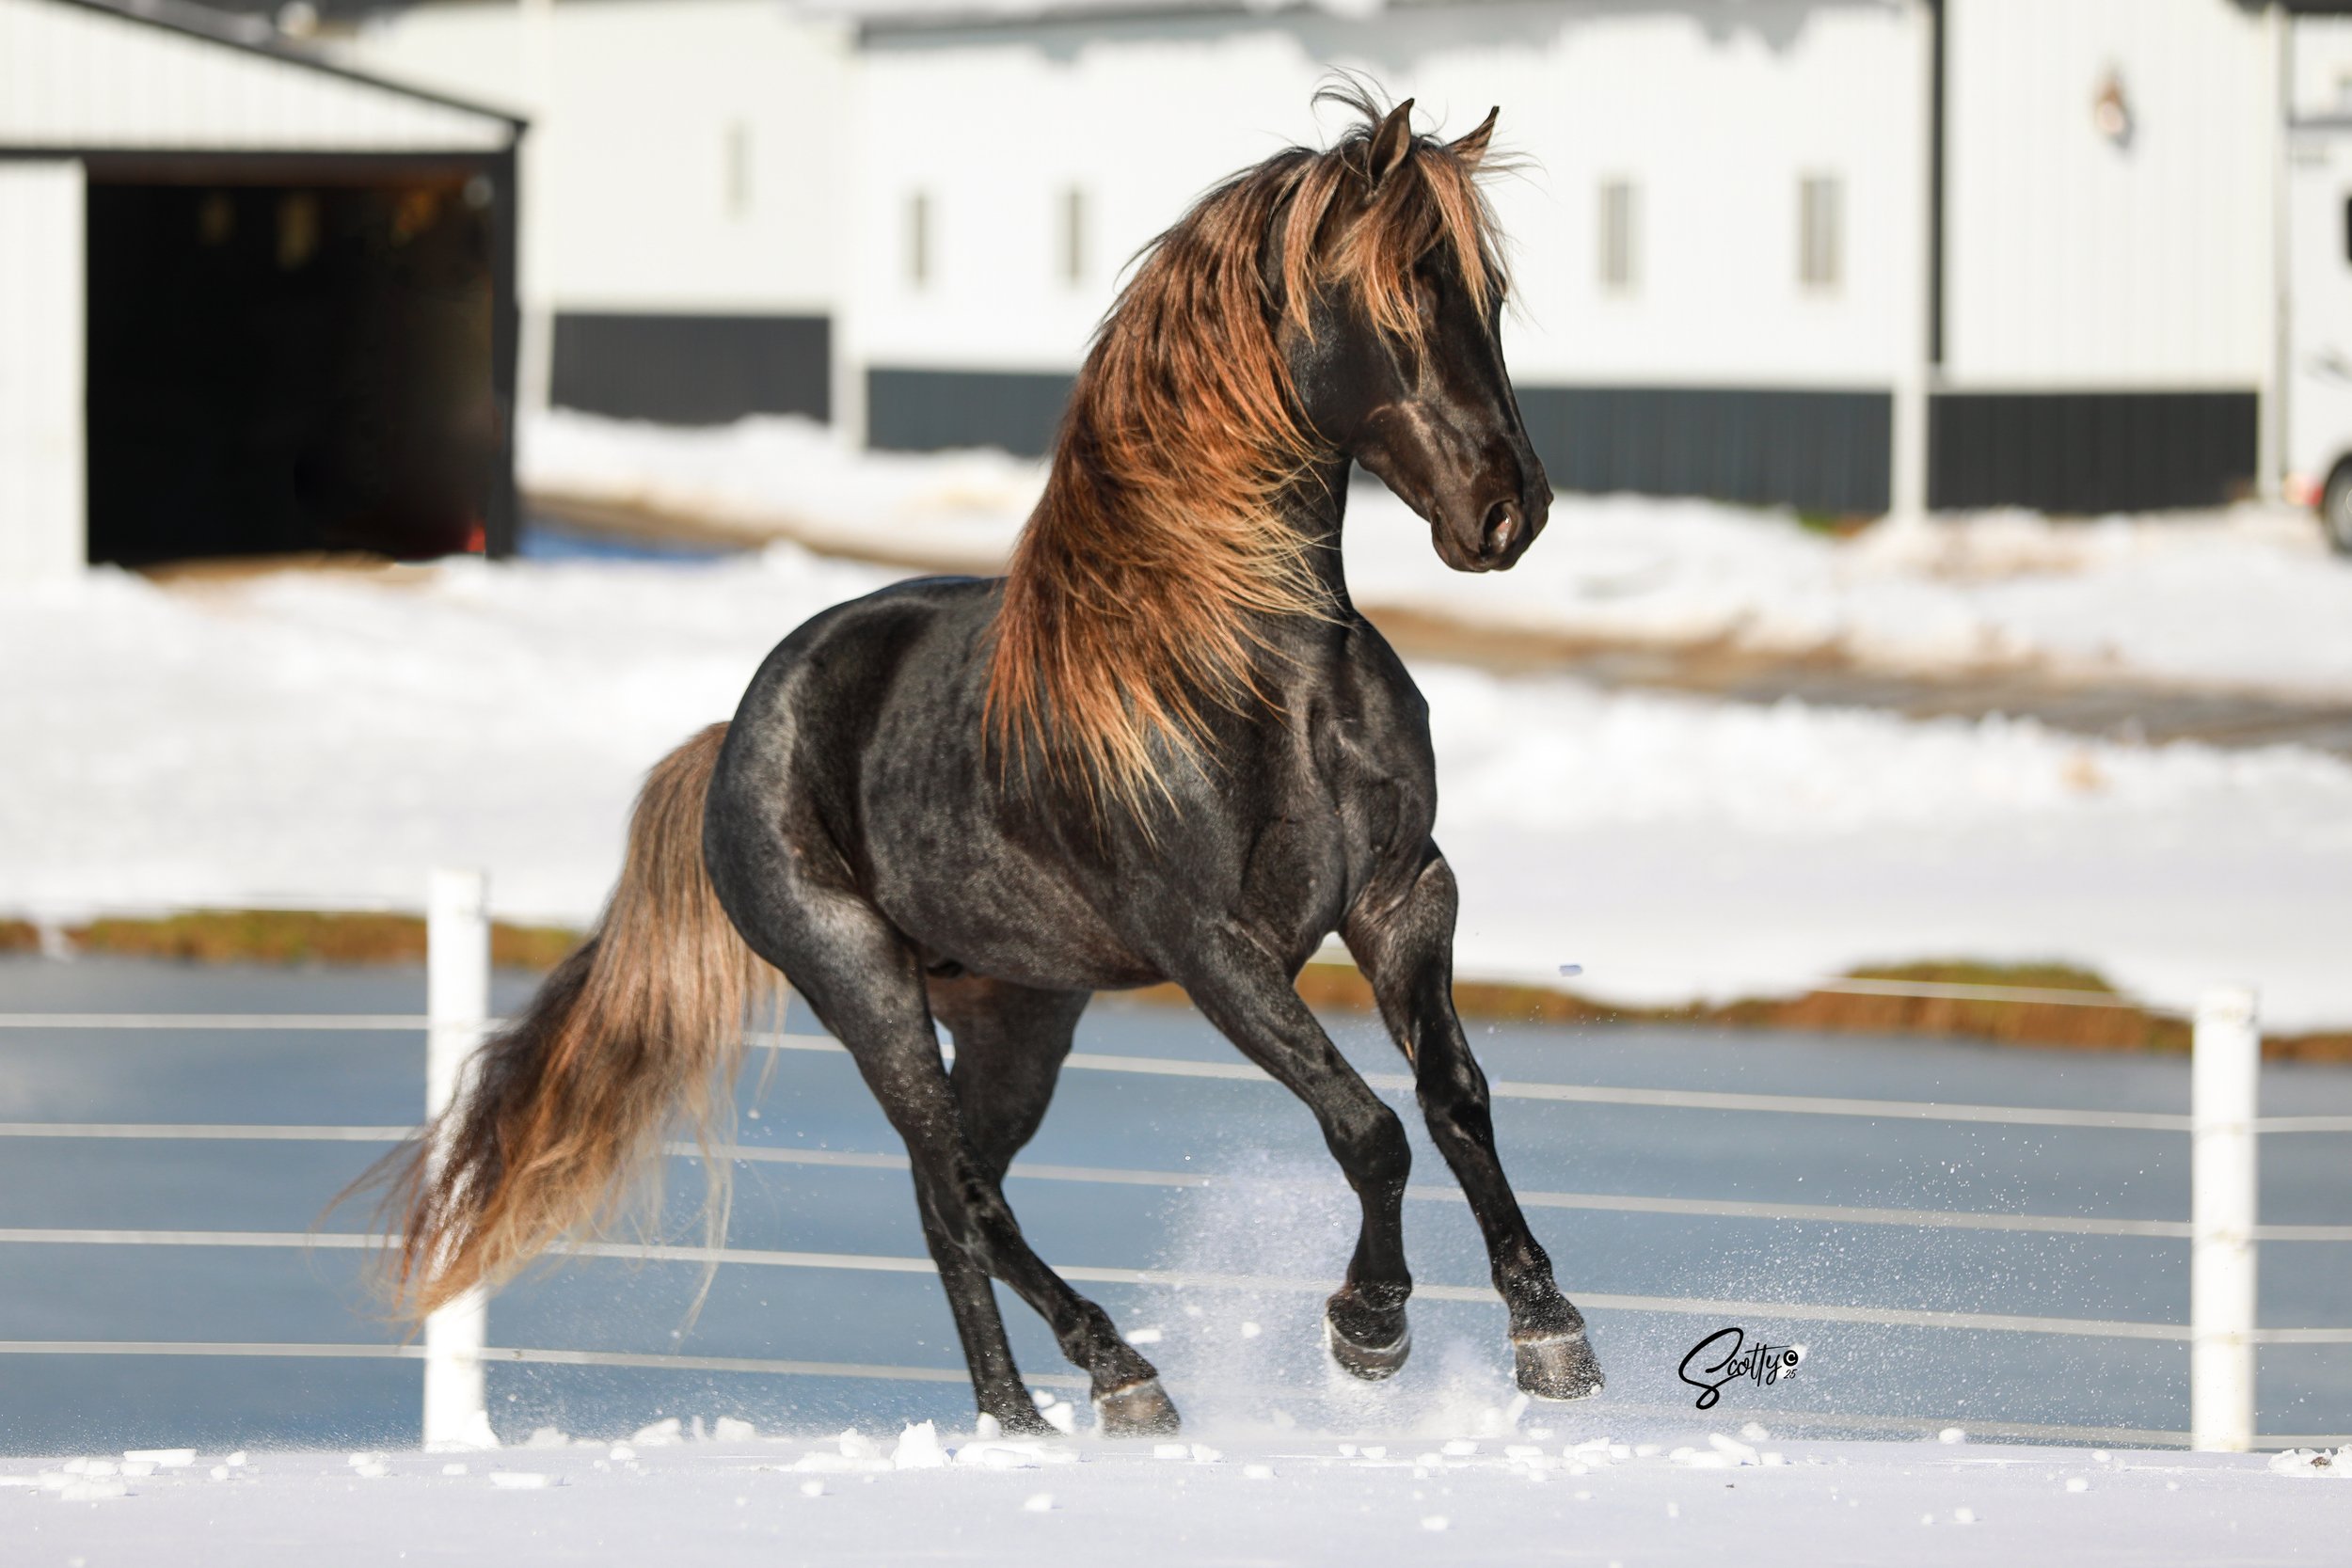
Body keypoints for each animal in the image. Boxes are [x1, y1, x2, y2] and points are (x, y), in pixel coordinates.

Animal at [376, 90, 1604, 1439]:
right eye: (1398, 296)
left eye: (1486, 295)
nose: (1509, 512)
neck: (1262, 672)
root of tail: (736, 732)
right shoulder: (1215, 948)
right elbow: (1369, 1126)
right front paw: (1368, 1326)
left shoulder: (1401, 896)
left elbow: (1455, 1098)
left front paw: (1550, 1330)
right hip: (865, 987)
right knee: (966, 1194)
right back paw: (1117, 1374)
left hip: (1020, 1011)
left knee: (948, 1203)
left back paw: (1020, 1417)